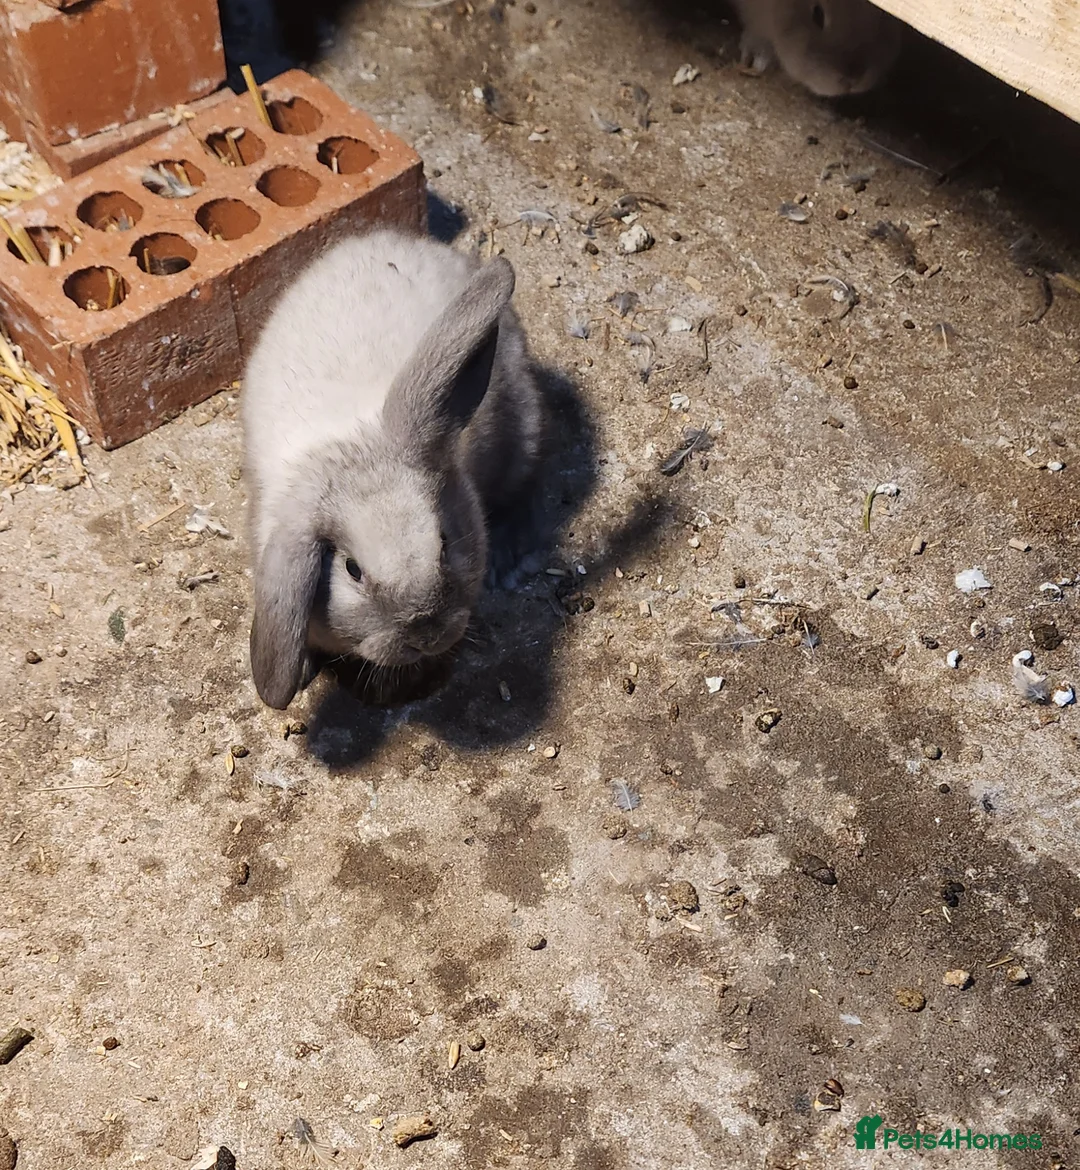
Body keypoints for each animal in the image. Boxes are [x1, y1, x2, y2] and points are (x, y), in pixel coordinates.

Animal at [241, 228, 546, 711]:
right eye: (352, 570)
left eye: (444, 542)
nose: (428, 634)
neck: (352, 447)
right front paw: (304, 668)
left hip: (523, 428)